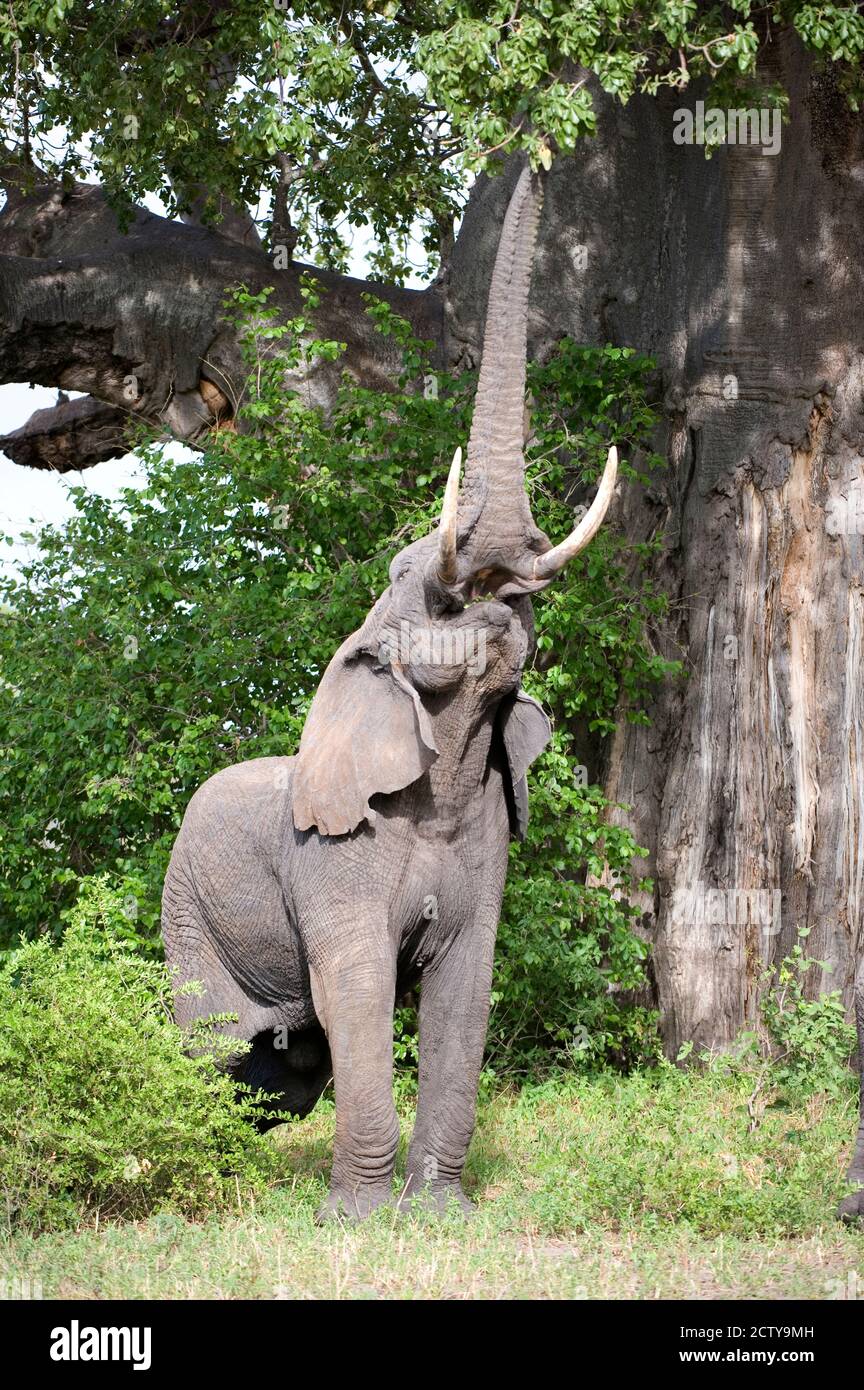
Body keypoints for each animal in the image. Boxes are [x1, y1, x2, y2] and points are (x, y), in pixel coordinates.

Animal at [163, 162, 622, 1223]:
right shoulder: (335, 855)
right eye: (419, 579)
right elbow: (362, 985)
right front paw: (362, 1222)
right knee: (212, 1051)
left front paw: (441, 1214)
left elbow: (466, 987)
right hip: (187, 915)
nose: (541, 155)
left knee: (287, 1068)